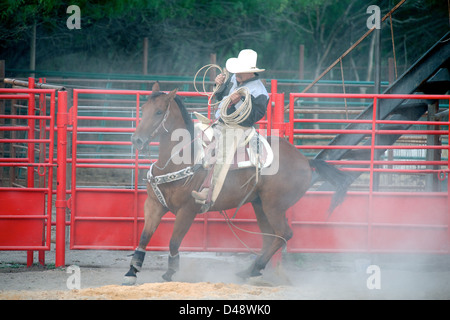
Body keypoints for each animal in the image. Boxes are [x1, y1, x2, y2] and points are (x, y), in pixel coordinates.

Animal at [124, 84, 352, 284]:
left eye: (158, 112)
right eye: (143, 109)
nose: (136, 140)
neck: (177, 161)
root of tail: (306, 160)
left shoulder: (188, 210)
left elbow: (173, 241)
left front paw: (170, 272)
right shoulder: (154, 204)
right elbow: (144, 237)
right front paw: (132, 271)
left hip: (274, 206)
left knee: (283, 234)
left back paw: (254, 269)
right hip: (259, 204)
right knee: (269, 238)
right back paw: (249, 270)